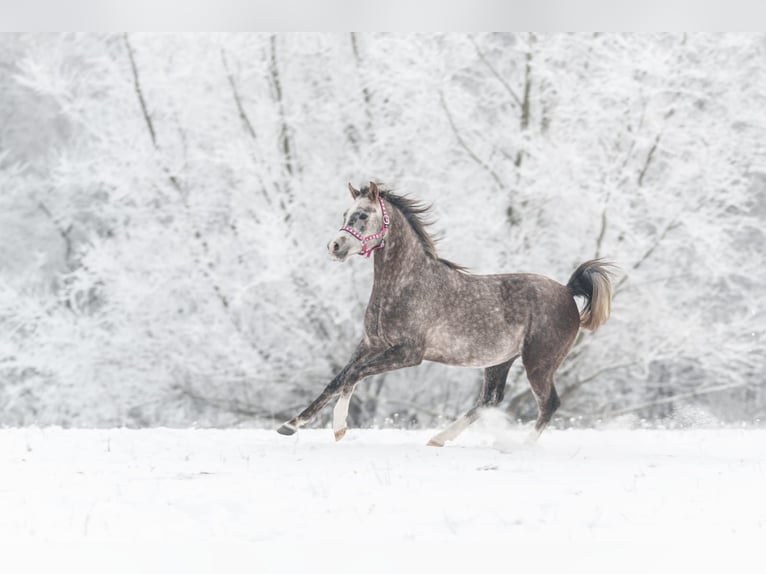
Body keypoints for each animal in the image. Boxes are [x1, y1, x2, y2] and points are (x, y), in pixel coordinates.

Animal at [277, 182, 613, 446]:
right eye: (345, 215)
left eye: (363, 215)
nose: (334, 246)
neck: (405, 284)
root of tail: (567, 292)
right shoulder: (371, 344)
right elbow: (337, 380)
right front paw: (290, 425)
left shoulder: (409, 353)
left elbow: (354, 376)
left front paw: (339, 428)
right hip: (499, 361)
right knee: (490, 400)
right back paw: (439, 438)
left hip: (538, 363)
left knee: (549, 404)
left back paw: (516, 447)